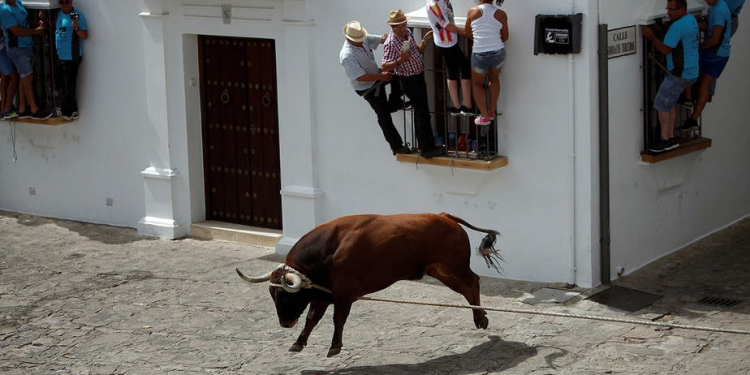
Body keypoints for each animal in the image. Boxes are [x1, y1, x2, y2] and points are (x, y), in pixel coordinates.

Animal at [238, 213, 502, 356]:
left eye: (285, 295)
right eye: (272, 295)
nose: (285, 323)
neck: (329, 249)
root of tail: (445, 216)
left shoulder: (343, 294)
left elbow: (338, 319)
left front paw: (335, 346)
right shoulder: (323, 295)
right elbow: (312, 319)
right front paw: (298, 343)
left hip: (454, 265)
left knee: (473, 282)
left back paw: (480, 318)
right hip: (439, 269)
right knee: (467, 288)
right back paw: (481, 318)